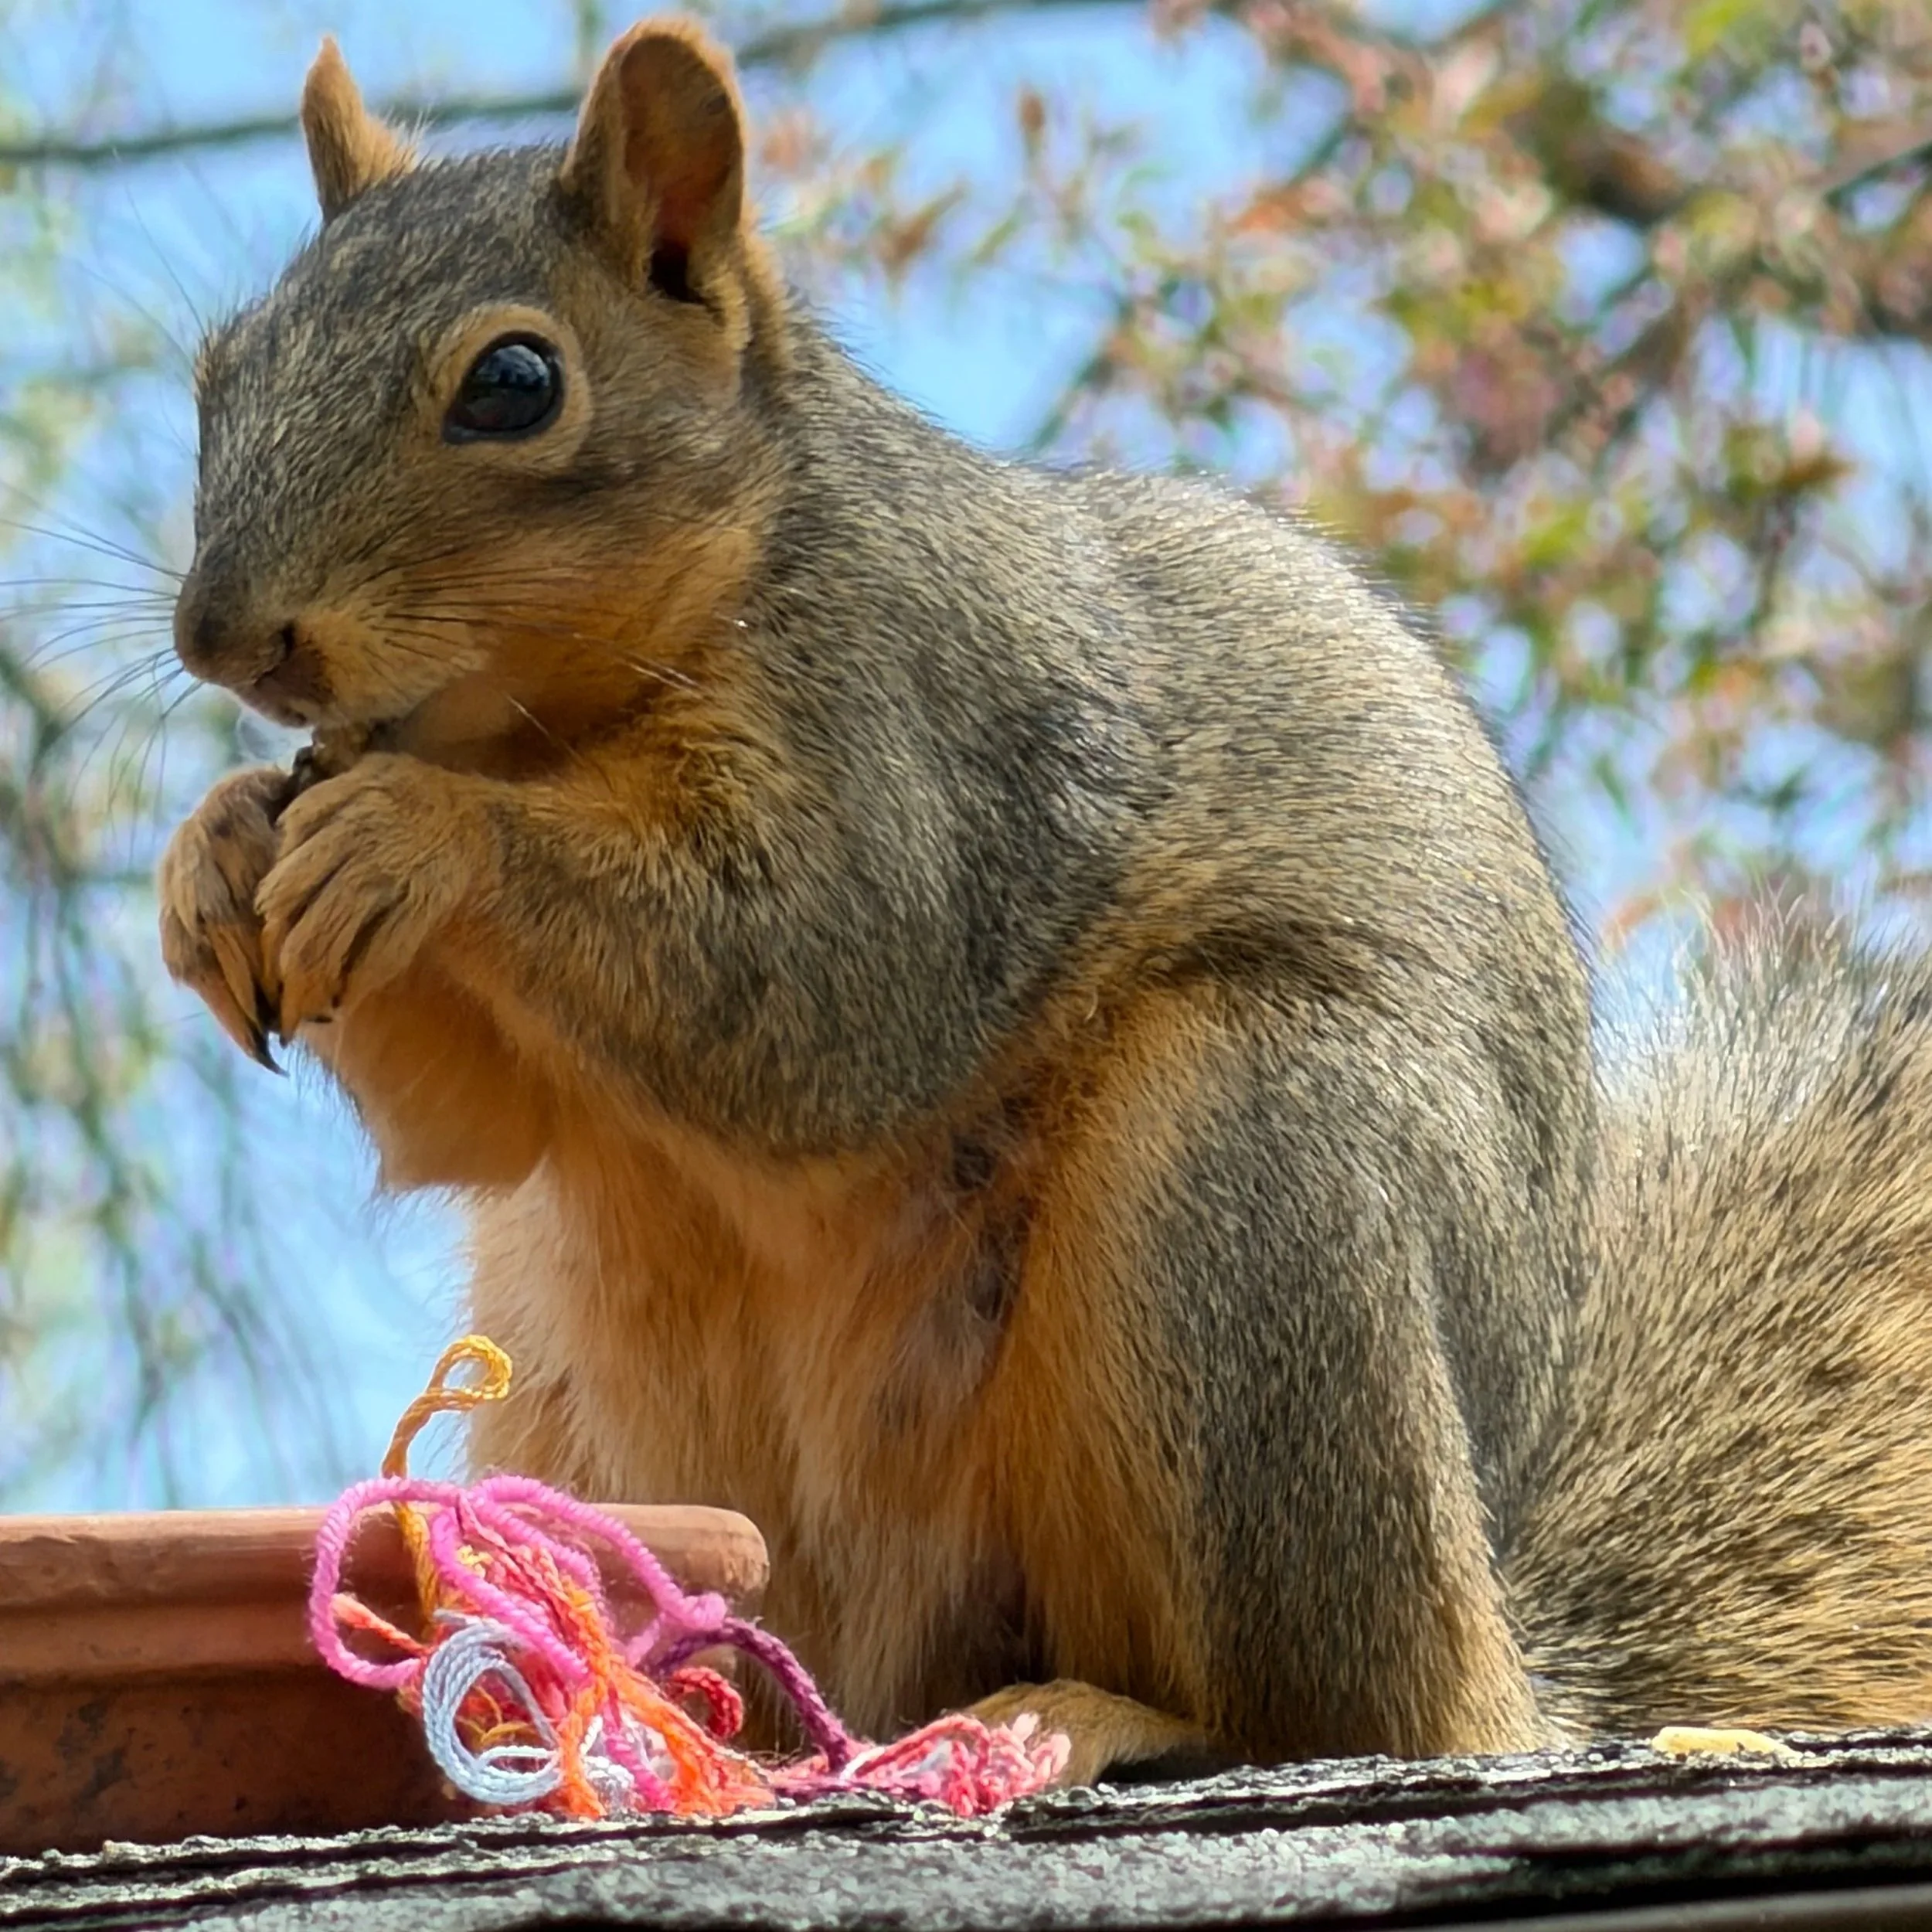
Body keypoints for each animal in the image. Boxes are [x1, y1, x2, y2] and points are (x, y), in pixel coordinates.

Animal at [156, 17, 1932, 1783]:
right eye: (220, 371)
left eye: (515, 384)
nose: (225, 639)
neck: (551, 721)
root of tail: (1507, 1656)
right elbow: (476, 1127)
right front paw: (215, 849)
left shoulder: (929, 749)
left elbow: (810, 985)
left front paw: (416, 832)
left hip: (1250, 1183)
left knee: (1327, 1705)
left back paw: (1093, 1710)